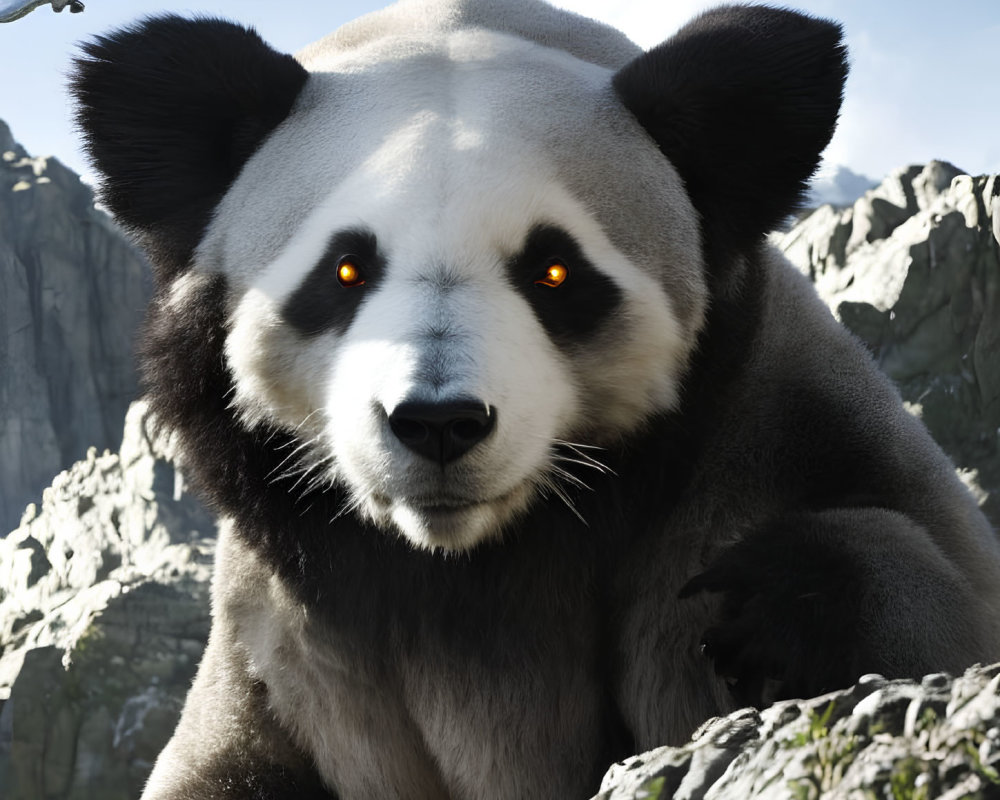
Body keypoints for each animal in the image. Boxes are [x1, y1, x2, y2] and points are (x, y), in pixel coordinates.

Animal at [74, 1, 1000, 800]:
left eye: (553, 270)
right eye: (345, 268)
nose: (438, 423)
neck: (467, 562)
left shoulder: (774, 432)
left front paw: (777, 607)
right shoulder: (279, 646)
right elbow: (225, 767)